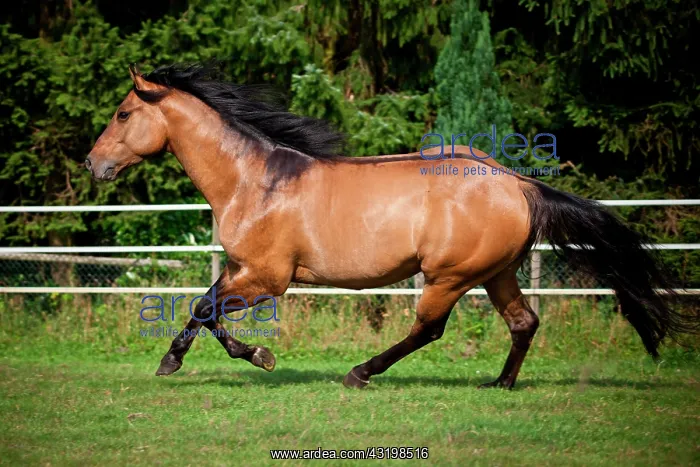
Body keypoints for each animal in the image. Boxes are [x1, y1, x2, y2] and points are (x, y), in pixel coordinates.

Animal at [85, 63, 695, 389]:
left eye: (122, 113)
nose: (93, 164)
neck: (254, 181)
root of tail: (517, 183)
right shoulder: (241, 268)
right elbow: (204, 306)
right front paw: (188, 358)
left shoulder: (267, 277)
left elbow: (203, 307)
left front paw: (246, 357)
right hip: (496, 273)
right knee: (524, 322)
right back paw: (501, 383)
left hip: (450, 276)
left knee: (428, 329)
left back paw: (361, 372)